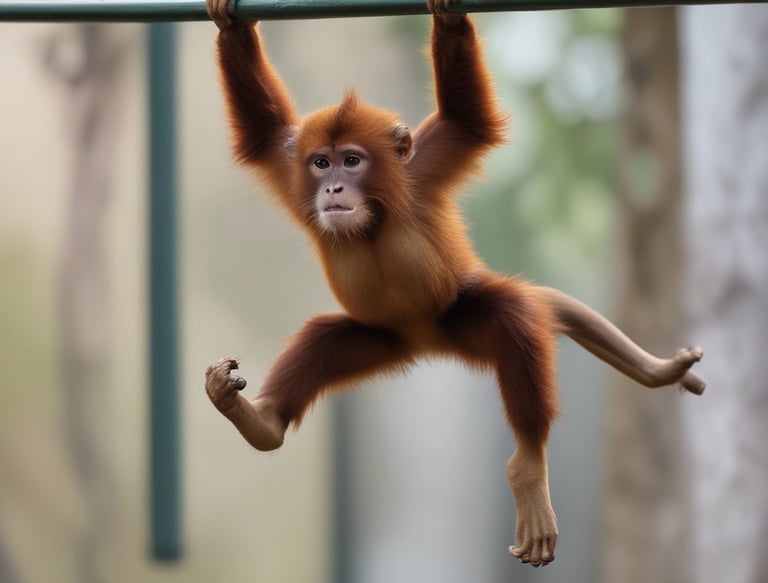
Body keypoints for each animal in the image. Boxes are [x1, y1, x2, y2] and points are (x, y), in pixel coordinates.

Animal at [204, 0, 705, 568]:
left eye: (352, 161)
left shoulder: (422, 168)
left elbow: (465, 120)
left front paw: (447, 17)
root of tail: (426, 341)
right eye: (321, 162)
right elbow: (266, 131)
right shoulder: (293, 175)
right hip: (380, 342)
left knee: (512, 314)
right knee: (324, 341)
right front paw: (230, 24)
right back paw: (262, 421)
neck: (375, 216)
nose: (331, 188)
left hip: (460, 320)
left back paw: (529, 467)